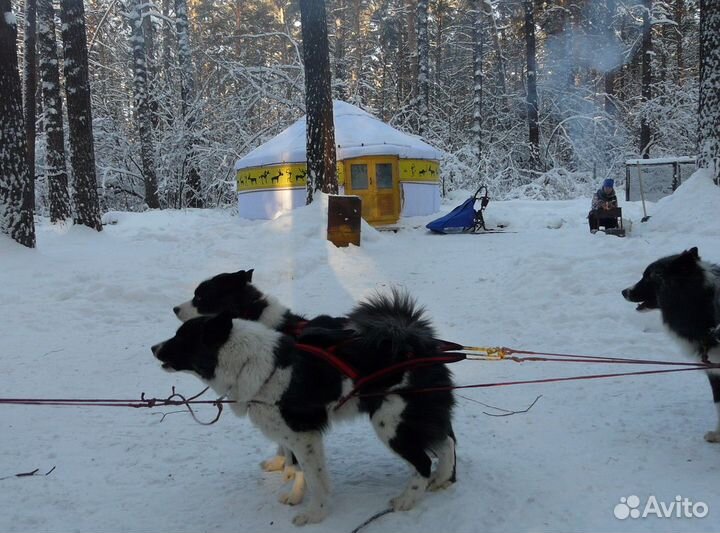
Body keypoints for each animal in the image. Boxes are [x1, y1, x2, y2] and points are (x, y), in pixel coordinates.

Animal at [156, 286, 456, 524]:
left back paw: (408, 499)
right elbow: (300, 469)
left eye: (181, 337)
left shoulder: (304, 435)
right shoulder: (296, 436)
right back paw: (441, 479)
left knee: (424, 460)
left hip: (391, 424)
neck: (251, 363)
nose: (153, 348)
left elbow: (314, 477)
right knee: (446, 442)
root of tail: (414, 340)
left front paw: (315, 513)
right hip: (415, 419)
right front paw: (297, 495)